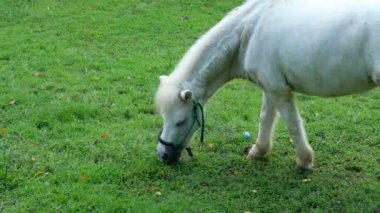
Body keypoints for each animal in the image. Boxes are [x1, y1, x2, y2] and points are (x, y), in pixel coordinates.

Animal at [154, 0, 380, 170]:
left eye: (180, 121)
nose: (163, 155)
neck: (249, 33)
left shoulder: (278, 90)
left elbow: (293, 124)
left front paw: (304, 160)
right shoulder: (270, 87)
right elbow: (266, 118)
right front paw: (259, 151)